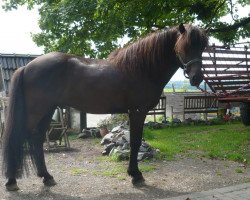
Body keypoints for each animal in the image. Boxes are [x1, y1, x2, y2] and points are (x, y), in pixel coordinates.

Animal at [1, 23, 208, 191]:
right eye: (184, 46)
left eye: (202, 47)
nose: (197, 78)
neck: (142, 68)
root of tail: (27, 67)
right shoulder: (137, 111)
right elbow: (135, 142)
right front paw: (136, 175)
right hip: (36, 111)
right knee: (20, 138)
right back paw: (12, 181)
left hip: (47, 111)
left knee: (36, 140)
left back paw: (46, 177)